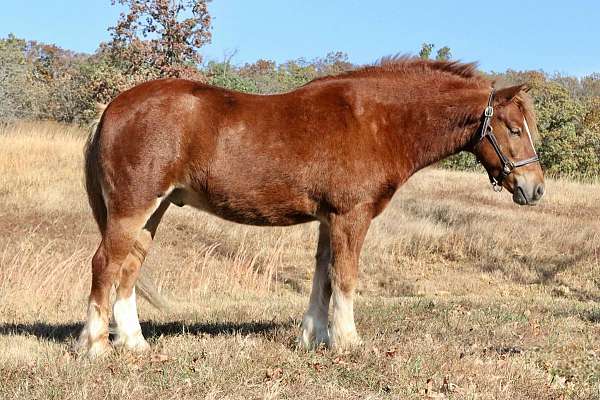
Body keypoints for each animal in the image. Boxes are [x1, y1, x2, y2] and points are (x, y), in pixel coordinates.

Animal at [77, 55, 548, 356]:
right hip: (132, 209)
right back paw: (96, 346)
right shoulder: (351, 217)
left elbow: (322, 277)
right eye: (512, 128)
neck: (375, 121)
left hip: (152, 212)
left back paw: (134, 343)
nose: (535, 188)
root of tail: (112, 108)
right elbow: (345, 277)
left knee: (129, 268)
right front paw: (347, 341)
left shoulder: (328, 219)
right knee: (105, 264)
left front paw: (313, 337)